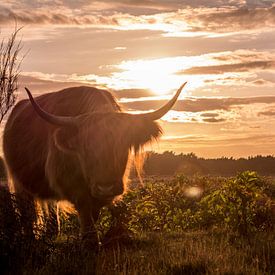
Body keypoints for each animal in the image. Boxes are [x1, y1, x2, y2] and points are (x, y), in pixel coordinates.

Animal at [3, 84, 187, 246]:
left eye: (122, 145)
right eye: (85, 148)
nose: (105, 187)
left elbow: (95, 210)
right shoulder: (72, 184)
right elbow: (85, 209)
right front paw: (90, 241)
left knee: (49, 205)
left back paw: (50, 233)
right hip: (19, 183)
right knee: (27, 212)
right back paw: (30, 240)